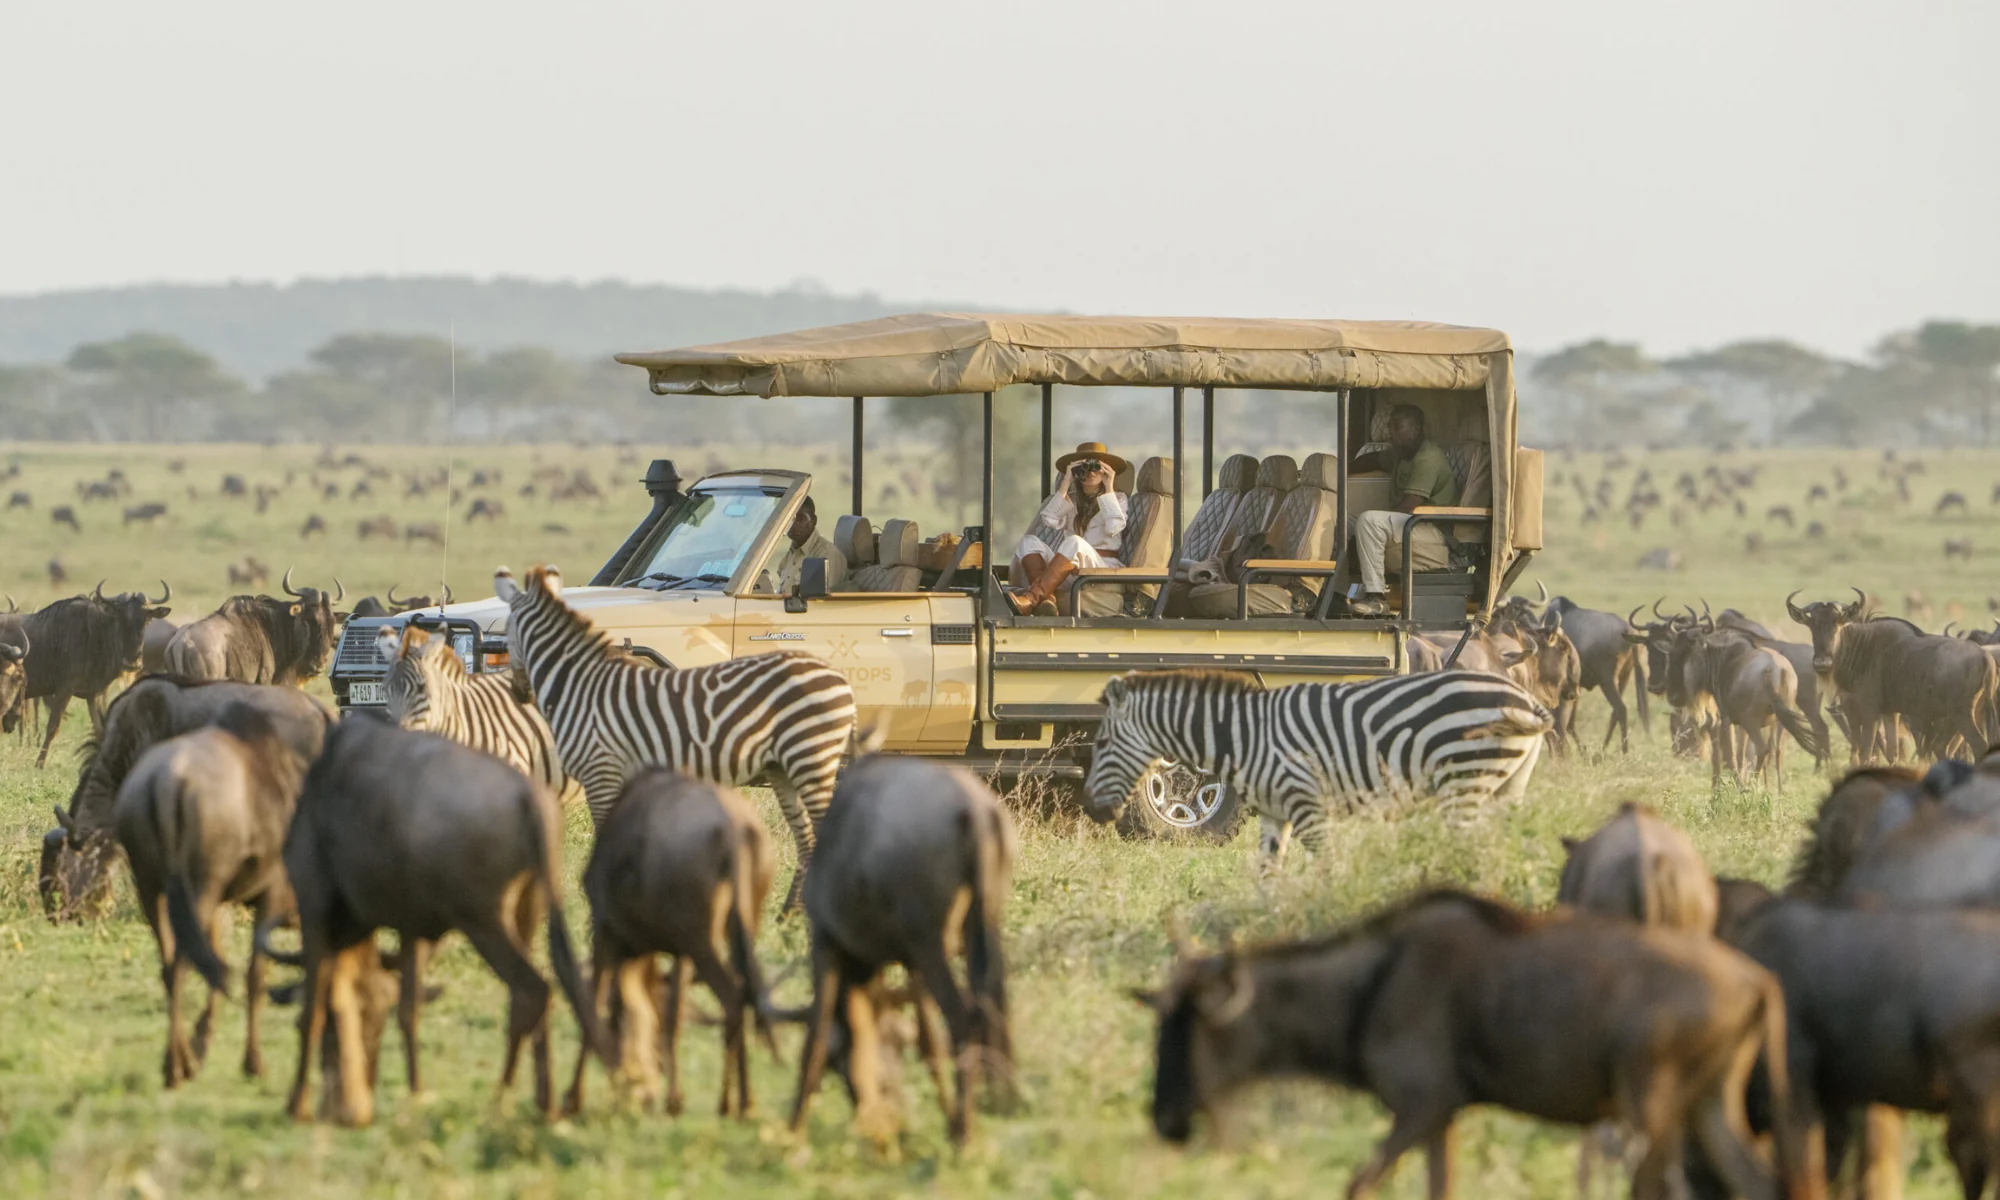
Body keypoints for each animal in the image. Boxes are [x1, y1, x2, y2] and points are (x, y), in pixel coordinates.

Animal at [490, 565, 858, 905]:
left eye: (506, 635)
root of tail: (841, 679)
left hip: (810, 756)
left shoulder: (601, 771)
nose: (520, 693)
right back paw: (788, 916)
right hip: (787, 766)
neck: (579, 683)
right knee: (807, 840)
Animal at [1082, 668, 1551, 870]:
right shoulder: (1275, 813)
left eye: (1101, 744)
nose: (1091, 811)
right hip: (1506, 786)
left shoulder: (1307, 804)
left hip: (1464, 781)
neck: (1244, 735)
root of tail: (1528, 699)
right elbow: (1267, 873)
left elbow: (1327, 866)